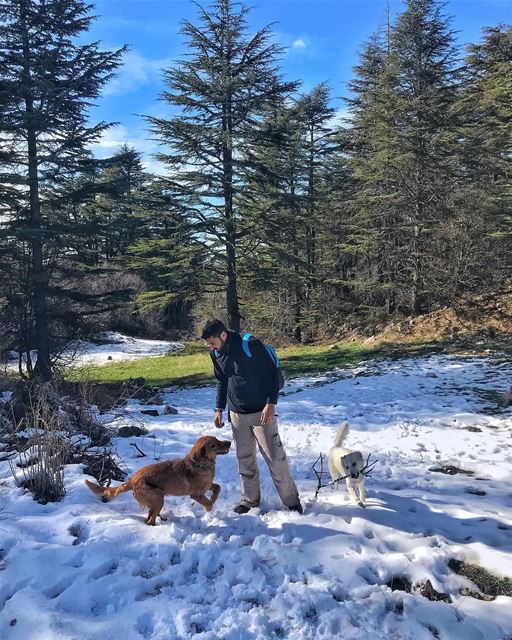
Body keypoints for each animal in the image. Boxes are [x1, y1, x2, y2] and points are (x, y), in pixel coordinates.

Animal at [85, 436, 231, 524]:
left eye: (218, 439)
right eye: (214, 445)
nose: (229, 442)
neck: (201, 465)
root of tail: (132, 479)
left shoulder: (207, 485)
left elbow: (218, 488)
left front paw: (213, 498)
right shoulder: (196, 494)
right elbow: (208, 504)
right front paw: (209, 511)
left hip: (156, 501)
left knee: (149, 517)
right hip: (158, 499)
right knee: (150, 521)